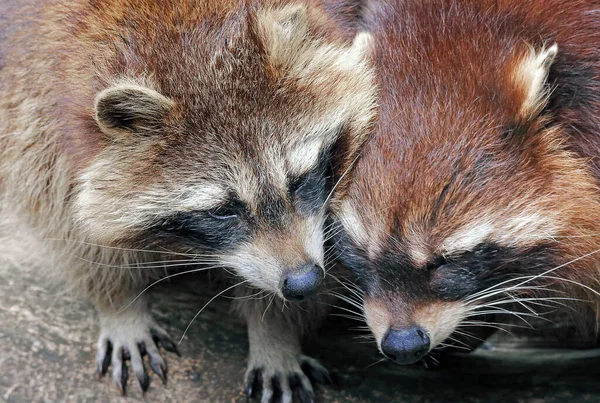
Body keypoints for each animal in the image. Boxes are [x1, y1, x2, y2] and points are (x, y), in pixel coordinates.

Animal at [0, 0, 376, 400]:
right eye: (223, 210)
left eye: (299, 181)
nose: (304, 282)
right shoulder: (33, 111)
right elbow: (71, 227)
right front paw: (119, 304)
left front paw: (276, 330)